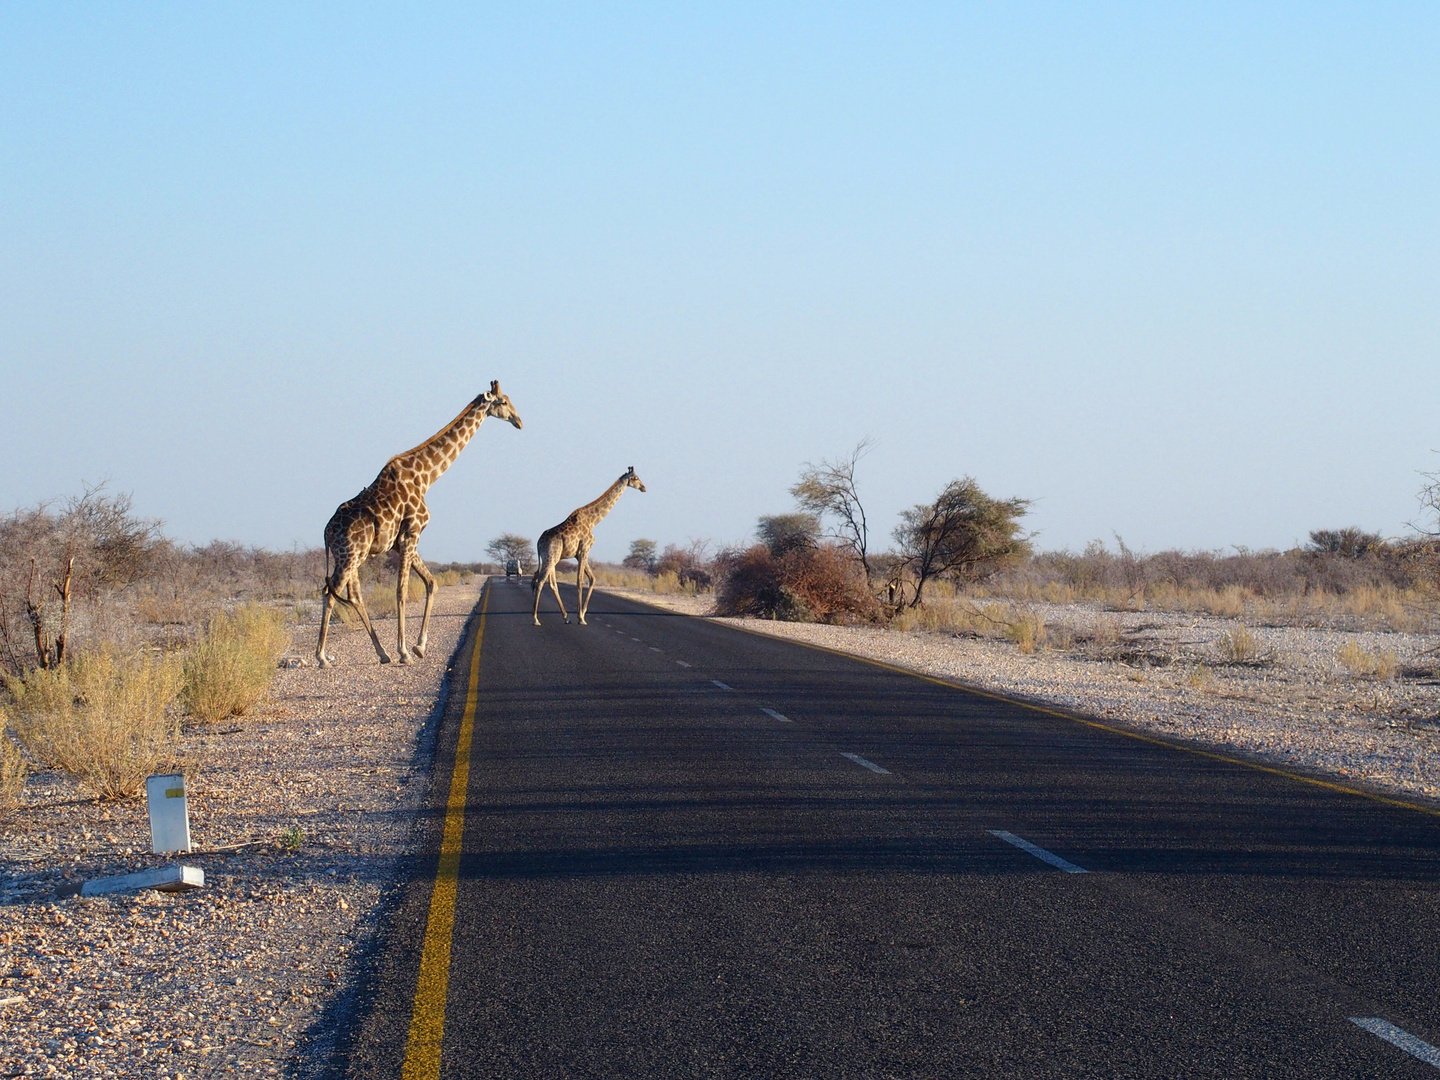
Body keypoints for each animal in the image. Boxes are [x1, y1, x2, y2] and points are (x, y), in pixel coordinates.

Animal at [535, 466, 648, 624]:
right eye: (636, 478)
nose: (644, 488)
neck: (593, 521)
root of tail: (538, 542)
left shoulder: (579, 554)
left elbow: (592, 579)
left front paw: (581, 613)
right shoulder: (585, 549)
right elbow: (579, 581)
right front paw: (581, 618)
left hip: (552, 558)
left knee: (552, 583)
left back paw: (566, 617)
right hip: (551, 557)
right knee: (540, 581)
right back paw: (535, 619)